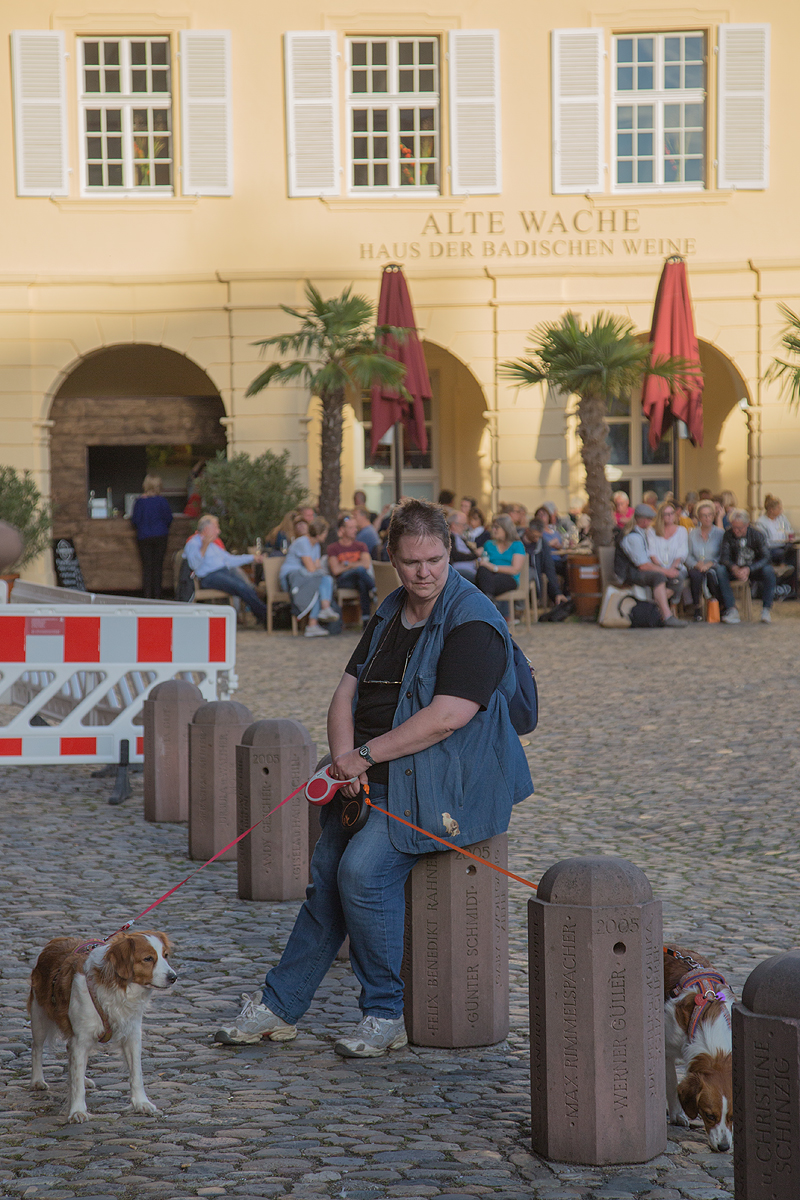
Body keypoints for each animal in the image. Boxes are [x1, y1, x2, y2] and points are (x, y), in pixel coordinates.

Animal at [27, 926, 175, 1123]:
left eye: (165, 955)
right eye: (148, 959)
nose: (174, 977)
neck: (118, 988)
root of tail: (55, 941)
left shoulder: (132, 1034)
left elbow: (136, 1073)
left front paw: (141, 1103)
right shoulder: (81, 1038)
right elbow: (77, 1083)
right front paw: (77, 1110)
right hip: (39, 1018)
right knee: (36, 1048)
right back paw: (37, 1080)